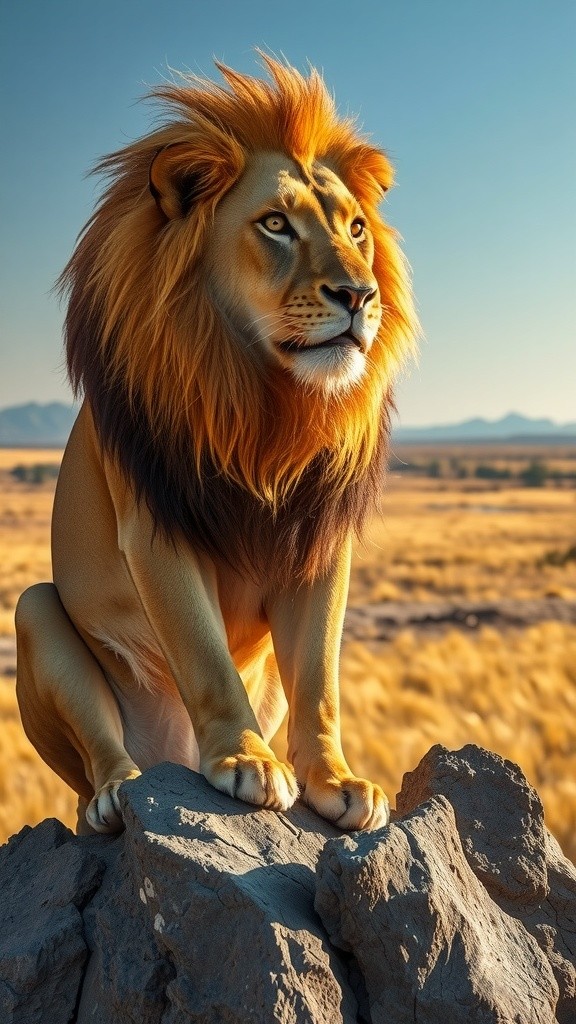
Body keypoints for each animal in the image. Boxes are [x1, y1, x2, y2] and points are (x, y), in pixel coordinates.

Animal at [15, 57, 416, 834]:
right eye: (276, 225)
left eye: (357, 228)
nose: (360, 295)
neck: (267, 406)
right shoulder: (155, 528)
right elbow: (205, 658)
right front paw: (247, 761)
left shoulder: (319, 541)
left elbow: (321, 680)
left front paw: (336, 779)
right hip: (34, 611)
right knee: (96, 767)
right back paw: (117, 792)